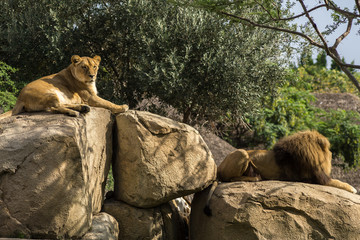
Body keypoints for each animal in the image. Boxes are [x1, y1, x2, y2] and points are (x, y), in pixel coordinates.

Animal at [0, 54, 129, 118]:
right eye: (84, 67)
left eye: (95, 66)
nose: (92, 76)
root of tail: (19, 98)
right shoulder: (90, 97)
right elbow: (108, 103)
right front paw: (122, 107)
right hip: (50, 94)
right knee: (54, 107)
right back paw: (75, 112)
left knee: (60, 105)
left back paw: (82, 108)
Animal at [204, 130, 356, 217]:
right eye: (329, 149)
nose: (331, 154)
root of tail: (218, 168)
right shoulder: (317, 178)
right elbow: (340, 183)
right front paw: (353, 189)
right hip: (242, 153)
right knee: (229, 179)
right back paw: (255, 178)